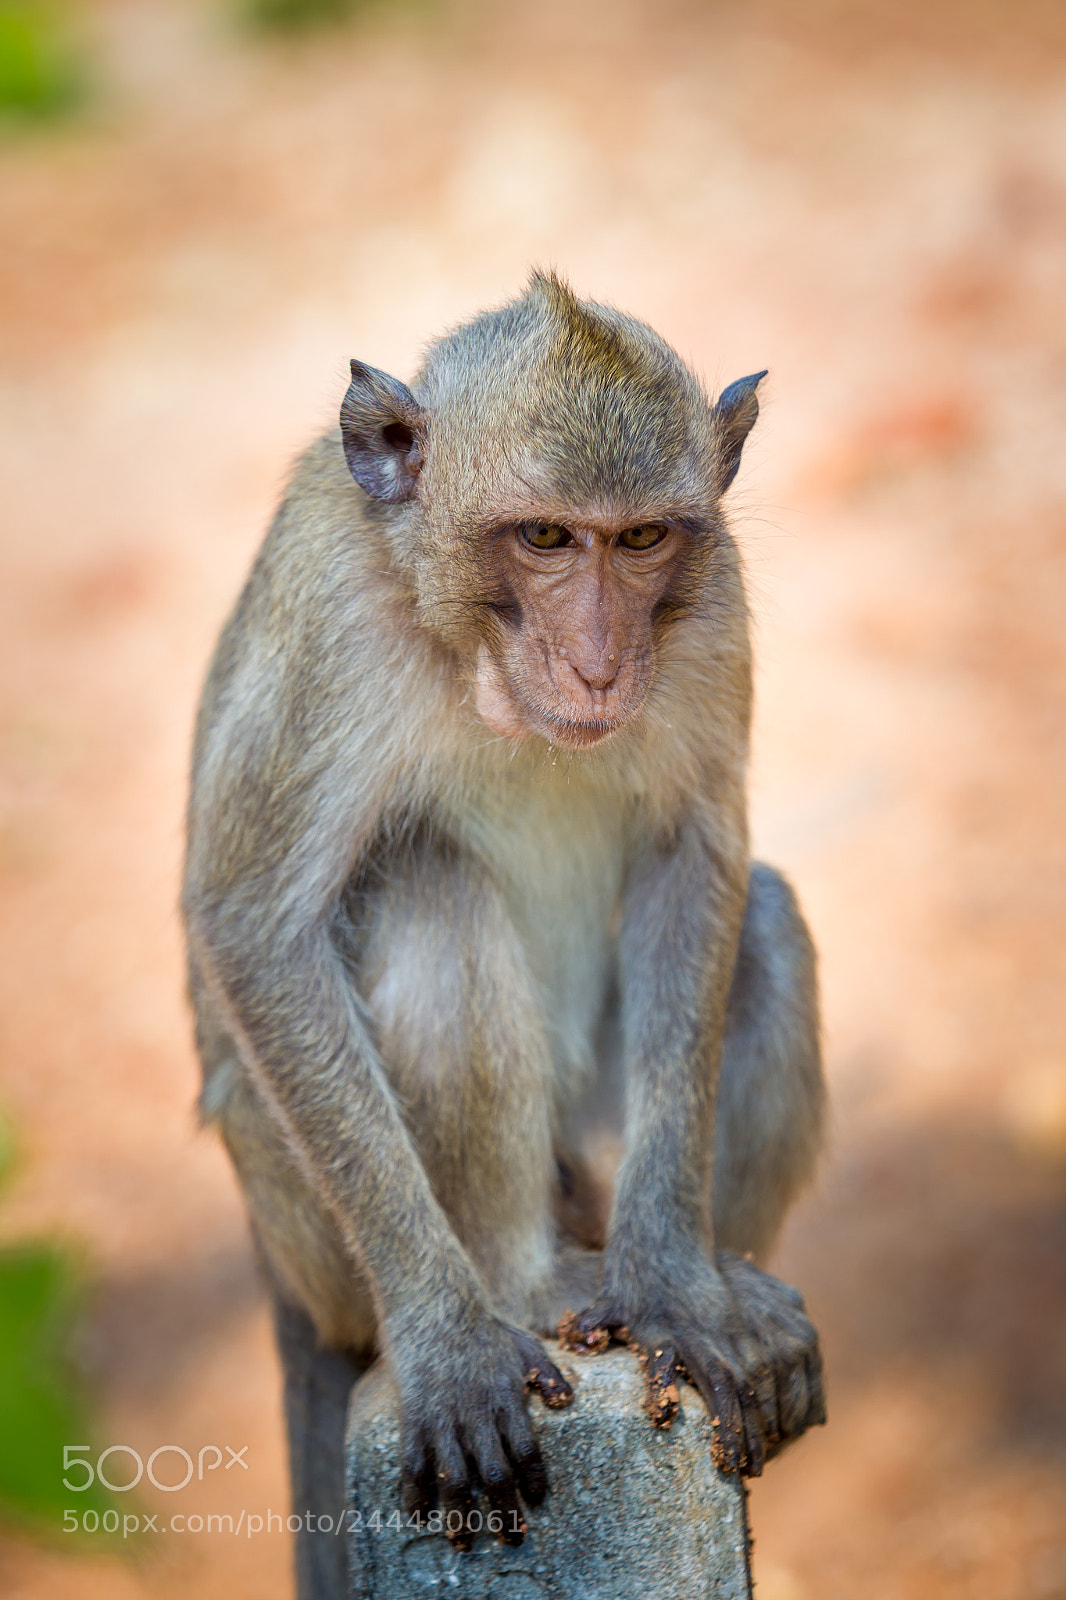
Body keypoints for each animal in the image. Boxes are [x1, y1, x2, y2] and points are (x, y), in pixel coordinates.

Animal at [182, 271, 826, 1599]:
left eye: (638, 541)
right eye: (543, 539)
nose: (598, 662)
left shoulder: (711, 599)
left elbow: (697, 857)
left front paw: (679, 1287)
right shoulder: (330, 618)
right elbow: (255, 926)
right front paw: (447, 1343)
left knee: (766, 916)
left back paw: (683, 1277)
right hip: (307, 1227)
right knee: (426, 890)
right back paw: (520, 1287)